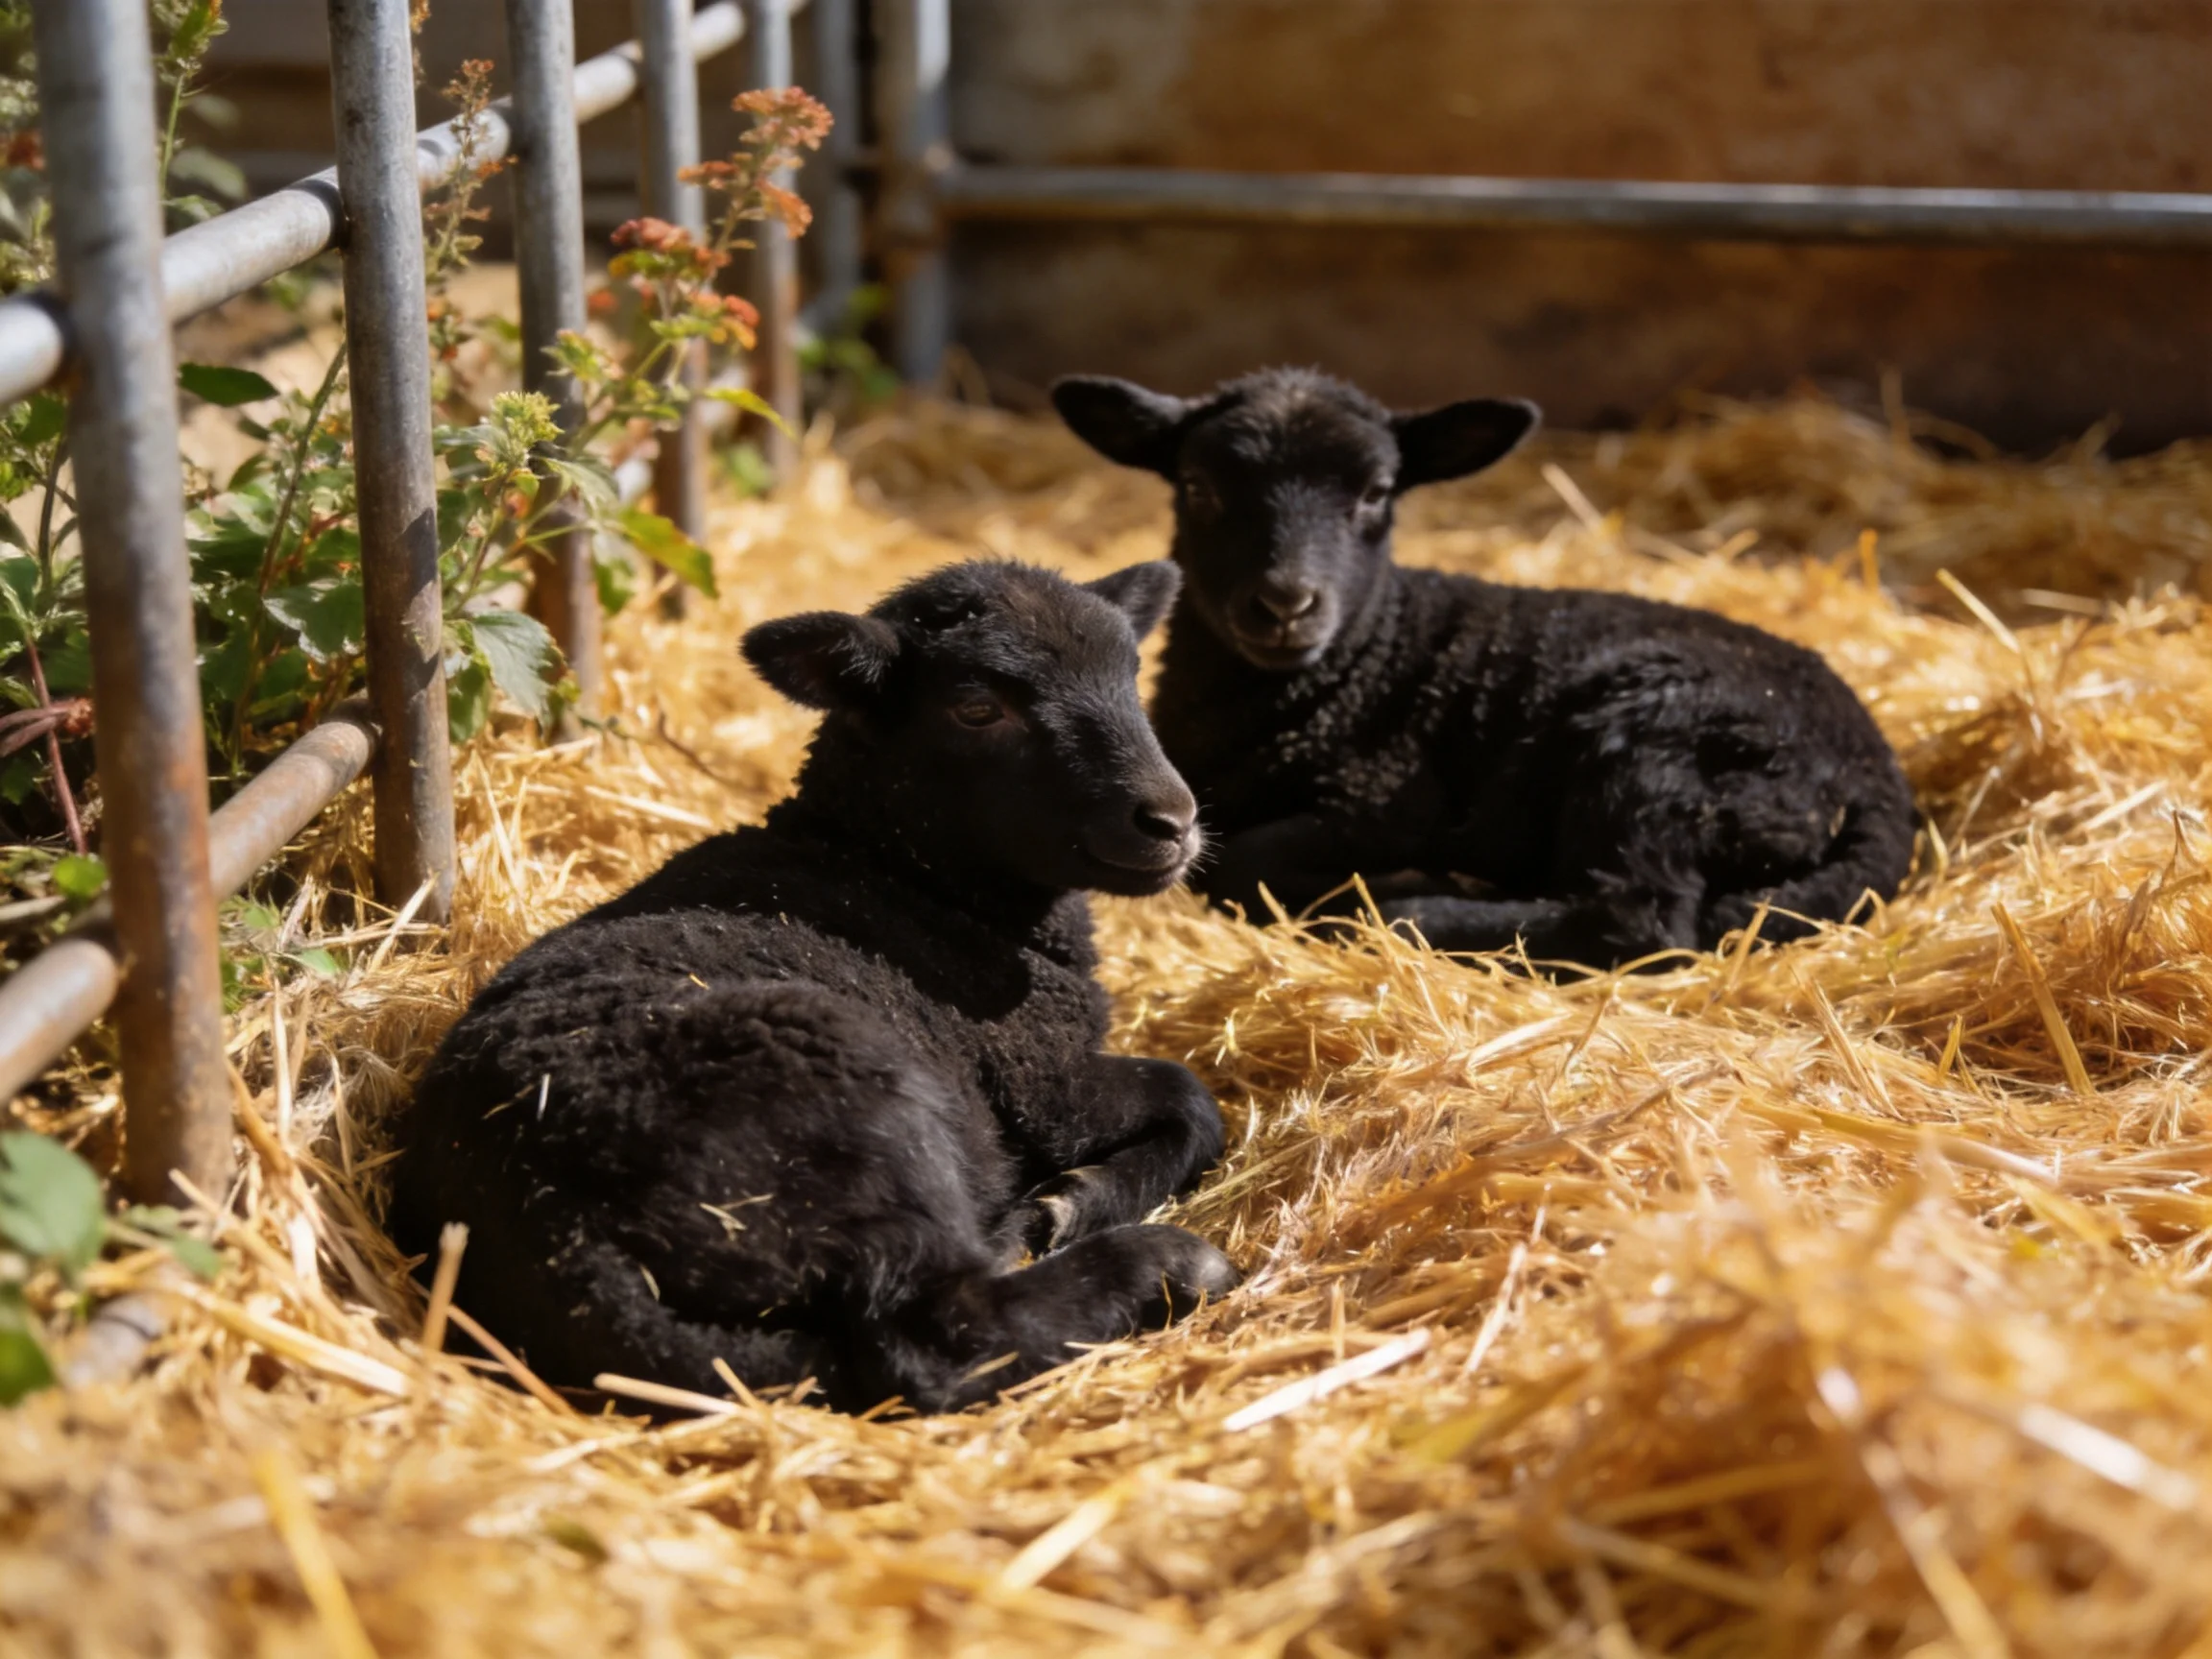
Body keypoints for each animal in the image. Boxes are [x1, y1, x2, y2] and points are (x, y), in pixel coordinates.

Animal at [388, 559, 1238, 1415]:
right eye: (976, 709)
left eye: (1132, 672)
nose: (1172, 822)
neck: (891, 865)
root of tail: (555, 1232)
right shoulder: (1043, 1082)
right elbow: (1193, 1099)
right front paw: (1077, 1198)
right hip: (862, 1112)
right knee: (939, 1336)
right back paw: (1161, 1262)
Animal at [1052, 368, 1916, 970]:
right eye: (1197, 488)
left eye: (1376, 493)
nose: (1284, 604)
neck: (1361, 662)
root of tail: (1878, 783)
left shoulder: (1386, 801)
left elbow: (1241, 860)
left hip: (1660, 751)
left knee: (1638, 918)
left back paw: (1423, 907)